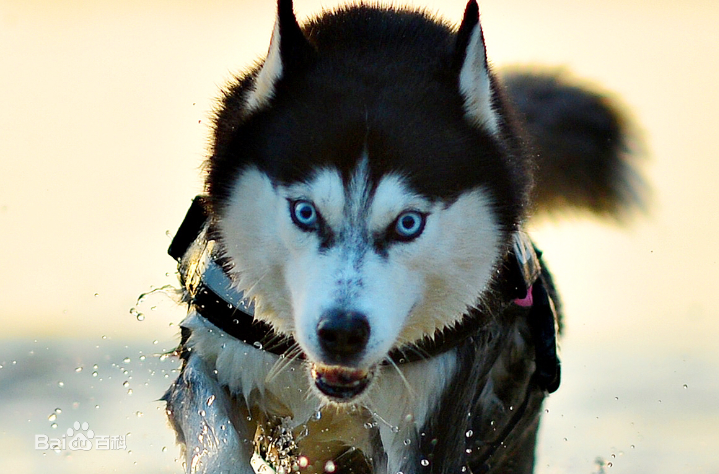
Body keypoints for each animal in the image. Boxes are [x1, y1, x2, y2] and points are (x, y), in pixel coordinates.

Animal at [162, 0, 640, 474]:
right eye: (305, 212)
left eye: (408, 223)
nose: (342, 333)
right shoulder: (211, 357)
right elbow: (217, 441)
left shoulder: (428, 427)